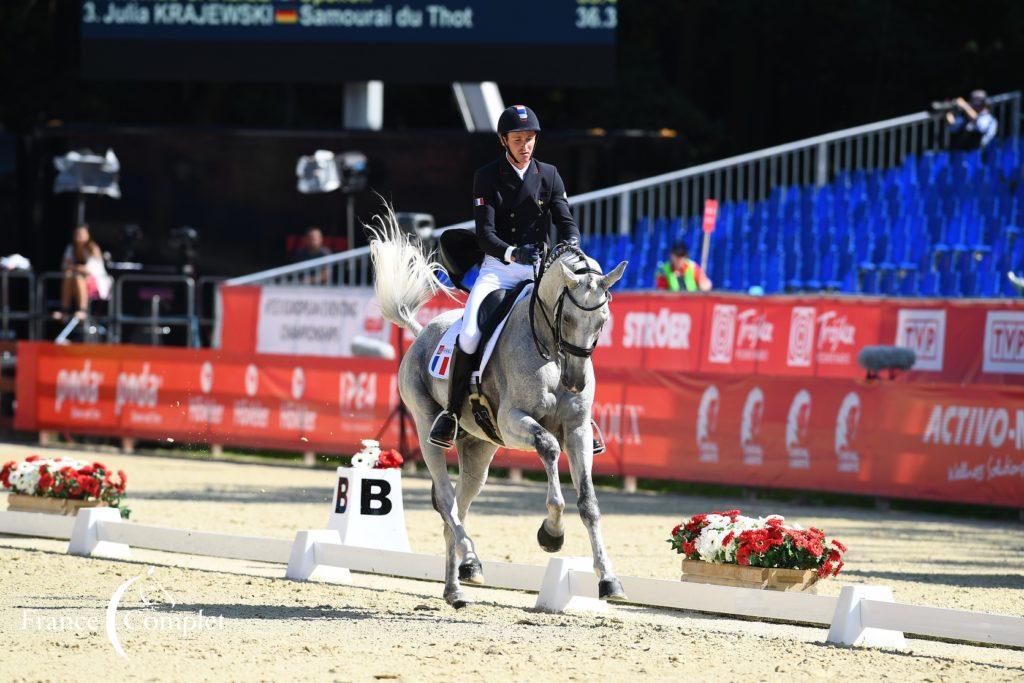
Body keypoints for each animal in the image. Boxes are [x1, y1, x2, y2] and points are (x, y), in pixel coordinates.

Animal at [368, 214, 622, 610]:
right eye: (566, 319)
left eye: (603, 320)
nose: (575, 382)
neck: (549, 351)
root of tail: (422, 332)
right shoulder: (514, 419)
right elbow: (549, 447)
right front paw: (551, 533)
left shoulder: (578, 430)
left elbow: (588, 503)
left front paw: (608, 580)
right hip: (426, 427)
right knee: (446, 499)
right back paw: (471, 559)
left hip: (479, 448)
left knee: (457, 507)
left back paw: (456, 588)